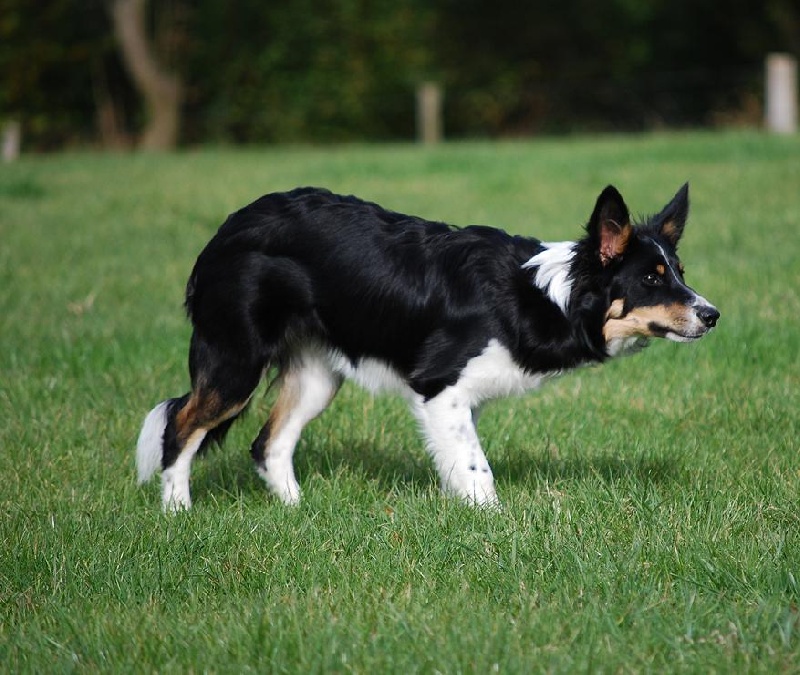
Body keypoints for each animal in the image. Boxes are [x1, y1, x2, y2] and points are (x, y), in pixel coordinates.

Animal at [136, 182, 720, 510]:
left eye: (679, 272)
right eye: (650, 279)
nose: (712, 315)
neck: (546, 296)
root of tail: (225, 231)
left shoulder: (463, 402)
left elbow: (458, 463)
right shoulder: (440, 386)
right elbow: (478, 473)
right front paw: (495, 524)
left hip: (317, 376)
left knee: (268, 444)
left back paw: (298, 513)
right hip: (236, 360)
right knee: (179, 425)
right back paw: (178, 512)